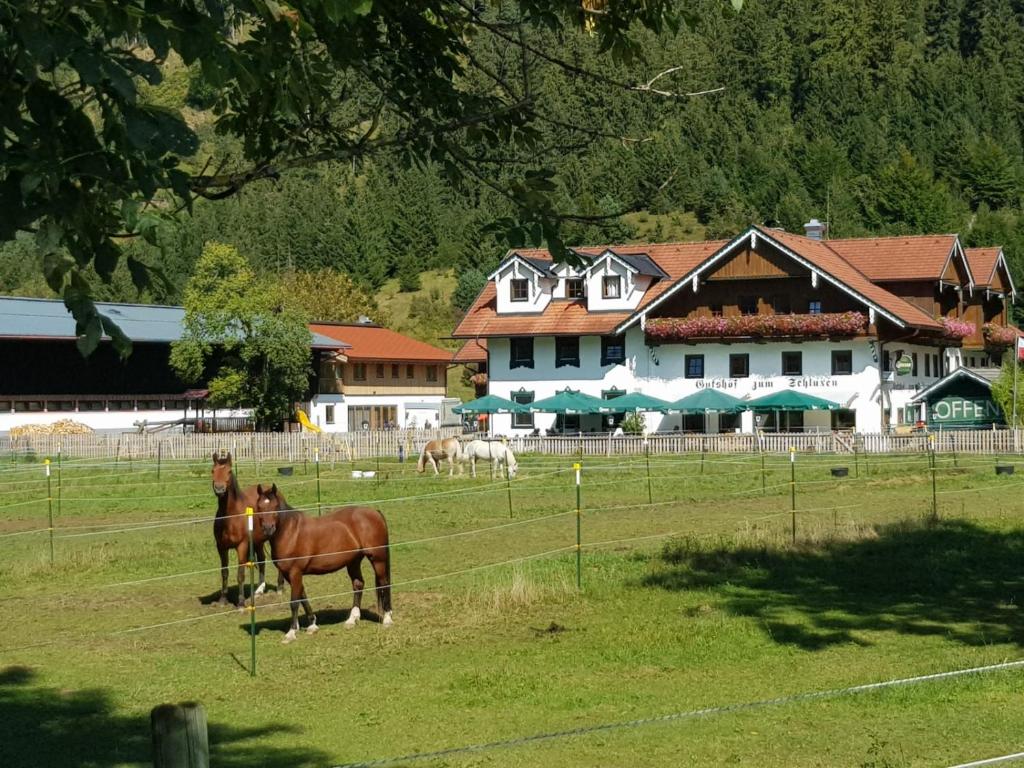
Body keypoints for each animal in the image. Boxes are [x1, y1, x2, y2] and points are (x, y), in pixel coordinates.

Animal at [209, 454, 280, 610]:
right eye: (212, 471)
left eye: (229, 471)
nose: (219, 489)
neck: (231, 516)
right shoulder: (221, 547)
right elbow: (224, 572)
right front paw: (223, 599)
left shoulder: (241, 546)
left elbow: (240, 574)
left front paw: (241, 603)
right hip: (259, 541)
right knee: (262, 560)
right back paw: (259, 590)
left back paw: (280, 587)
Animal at [258, 487, 393, 643]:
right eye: (259, 507)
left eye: (275, 506)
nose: (268, 528)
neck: (291, 533)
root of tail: (375, 512)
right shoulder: (289, 574)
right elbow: (302, 596)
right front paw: (311, 625)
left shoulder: (295, 572)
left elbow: (294, 602)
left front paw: (291, 633)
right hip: (354, 561)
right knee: (358, 584)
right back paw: (352, 620)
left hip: (378, 559)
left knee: (384, 584)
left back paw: (387, 620)